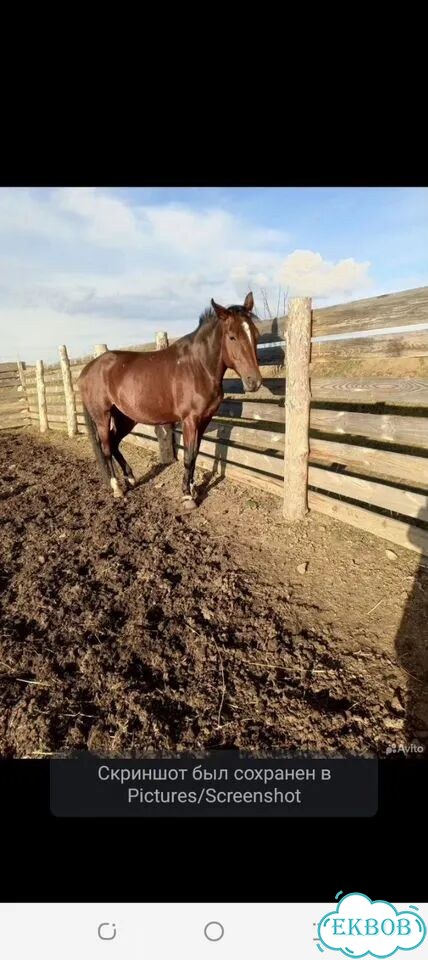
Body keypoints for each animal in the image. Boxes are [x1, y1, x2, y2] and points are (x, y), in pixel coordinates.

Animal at [78, 291, 262, 509]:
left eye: (256, 335)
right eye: (232, 336)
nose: (254, 382)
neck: (198, 367)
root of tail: (87, 369)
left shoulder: (204, 419)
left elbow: (195, 454)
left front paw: (192, 488)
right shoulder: (190, 420)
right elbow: (188, 457)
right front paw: (187, 497)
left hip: (125, 417)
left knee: (114, 443)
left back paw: (130, 478)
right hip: (102, 416)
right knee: (106, 447)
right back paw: (117, 488)